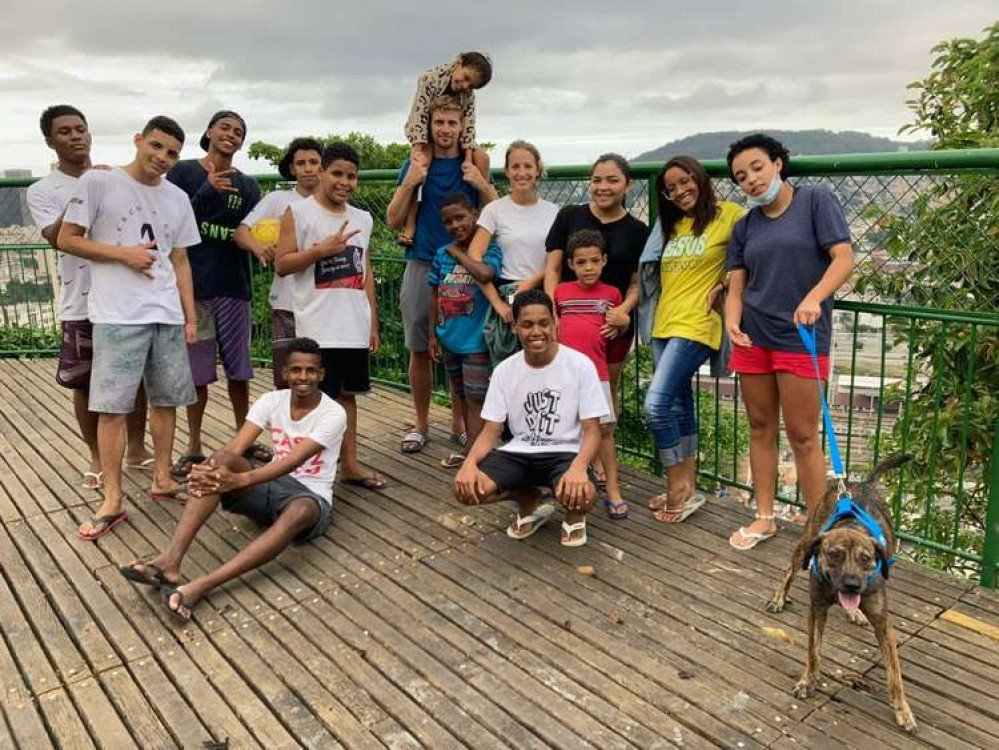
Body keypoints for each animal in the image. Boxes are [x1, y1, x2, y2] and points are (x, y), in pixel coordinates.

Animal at [768, 456, 916, 736]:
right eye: (834, 554)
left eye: (866, 559)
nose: (851, 585)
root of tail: (860, 484)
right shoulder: (817, 610)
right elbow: (813, 652)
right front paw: (807, 682)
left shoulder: (883, 624)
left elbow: (895, 674)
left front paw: (903, 711)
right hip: (805, 542)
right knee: (789, 571)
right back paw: (779, 598)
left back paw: (855, 612)